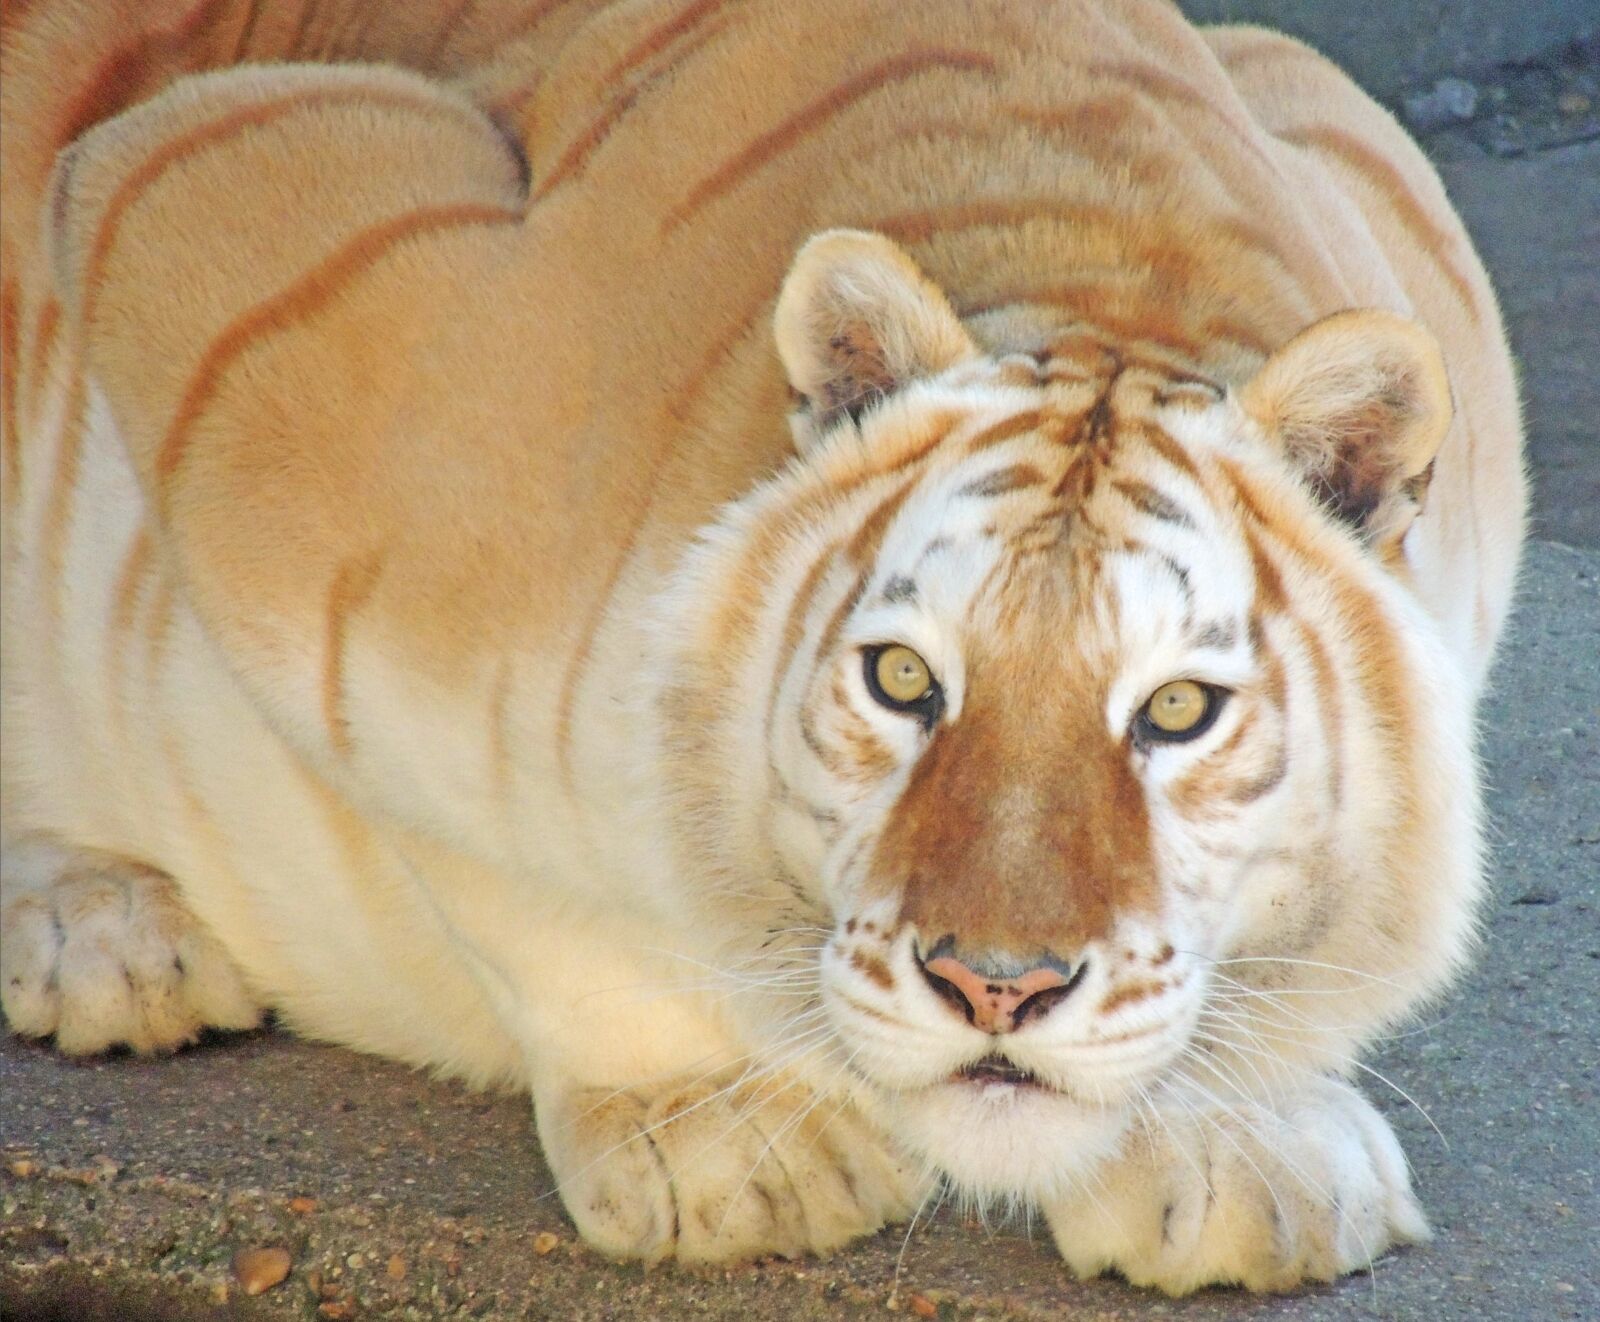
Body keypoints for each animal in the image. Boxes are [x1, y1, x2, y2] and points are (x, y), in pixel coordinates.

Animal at [0, 0, 1524, 1296]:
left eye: (1177, 712)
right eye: (903, 679)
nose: (999, 986)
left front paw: (1243, 1143)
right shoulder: (209, 193)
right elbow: (514, 878)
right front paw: (722, 1141)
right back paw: (100, 934)